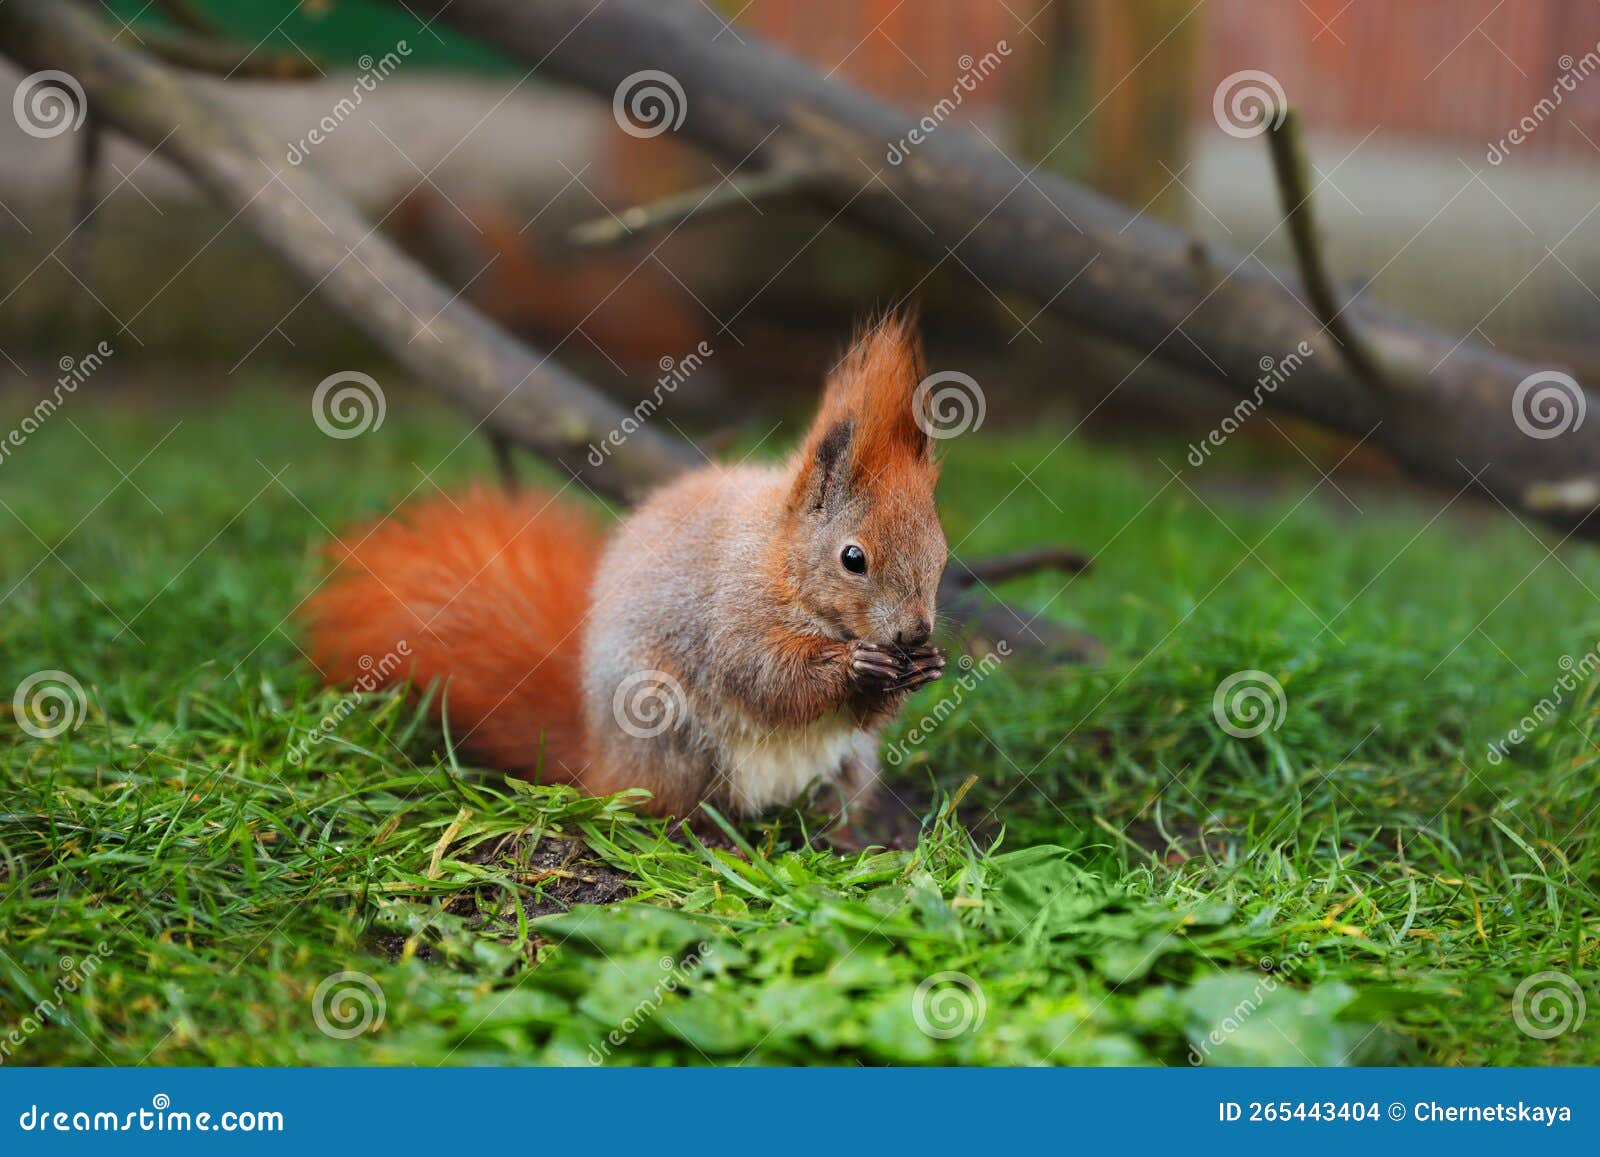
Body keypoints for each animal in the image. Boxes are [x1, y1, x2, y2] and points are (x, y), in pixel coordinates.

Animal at [303, 314, 948, 827]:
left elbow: (857, 713)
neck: (780, 558)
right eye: (853, 559)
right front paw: (855, 664)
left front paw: (923, 668)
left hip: (849, 768)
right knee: (675, 806)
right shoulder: (728, 611)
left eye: (942, 555)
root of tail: (601, 763)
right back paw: (711, 836)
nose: (915, 632)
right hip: (666, 730)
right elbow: (763, 677)